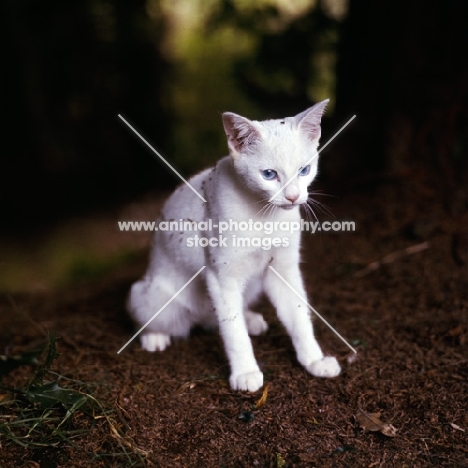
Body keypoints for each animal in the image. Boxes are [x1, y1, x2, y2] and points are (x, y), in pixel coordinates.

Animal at [128, 100, 340, 394]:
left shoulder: (283, 269)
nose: (293, 197)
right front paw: (245, 372)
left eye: (304, 171)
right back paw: (154, 337)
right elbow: (232, 331)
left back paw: (250, 319)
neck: (265, 216)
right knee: (161, 317)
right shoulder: (221, 277)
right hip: (152, 296)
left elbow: (299, 315)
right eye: (269, 174)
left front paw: (314, 360)